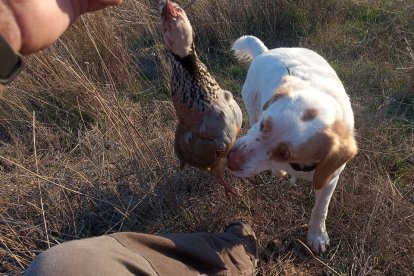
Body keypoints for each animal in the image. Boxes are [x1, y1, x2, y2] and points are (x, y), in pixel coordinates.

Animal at [228, 35, 358, 253]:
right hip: (252, 105)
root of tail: (266, 51)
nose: (230, 159)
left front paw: (317, 236)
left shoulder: (330, 178)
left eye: (285, 154)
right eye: (263, 124)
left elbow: (320, 210)